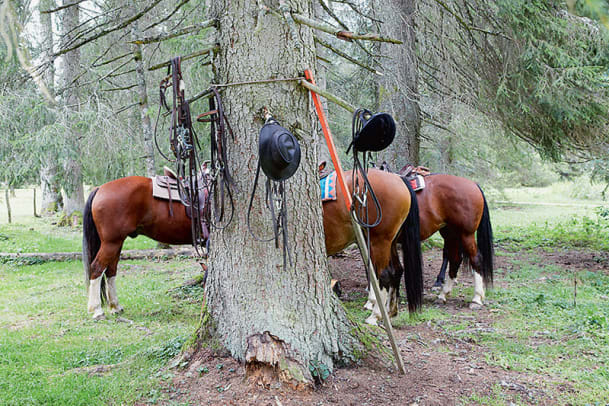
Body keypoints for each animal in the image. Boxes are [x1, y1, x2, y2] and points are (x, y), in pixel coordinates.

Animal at [82, 170, 422, 322]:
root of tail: (100, 188)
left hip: (380, 239)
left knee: (388, 273)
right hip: (114, 240)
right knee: (102, 269)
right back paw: (103, 308)